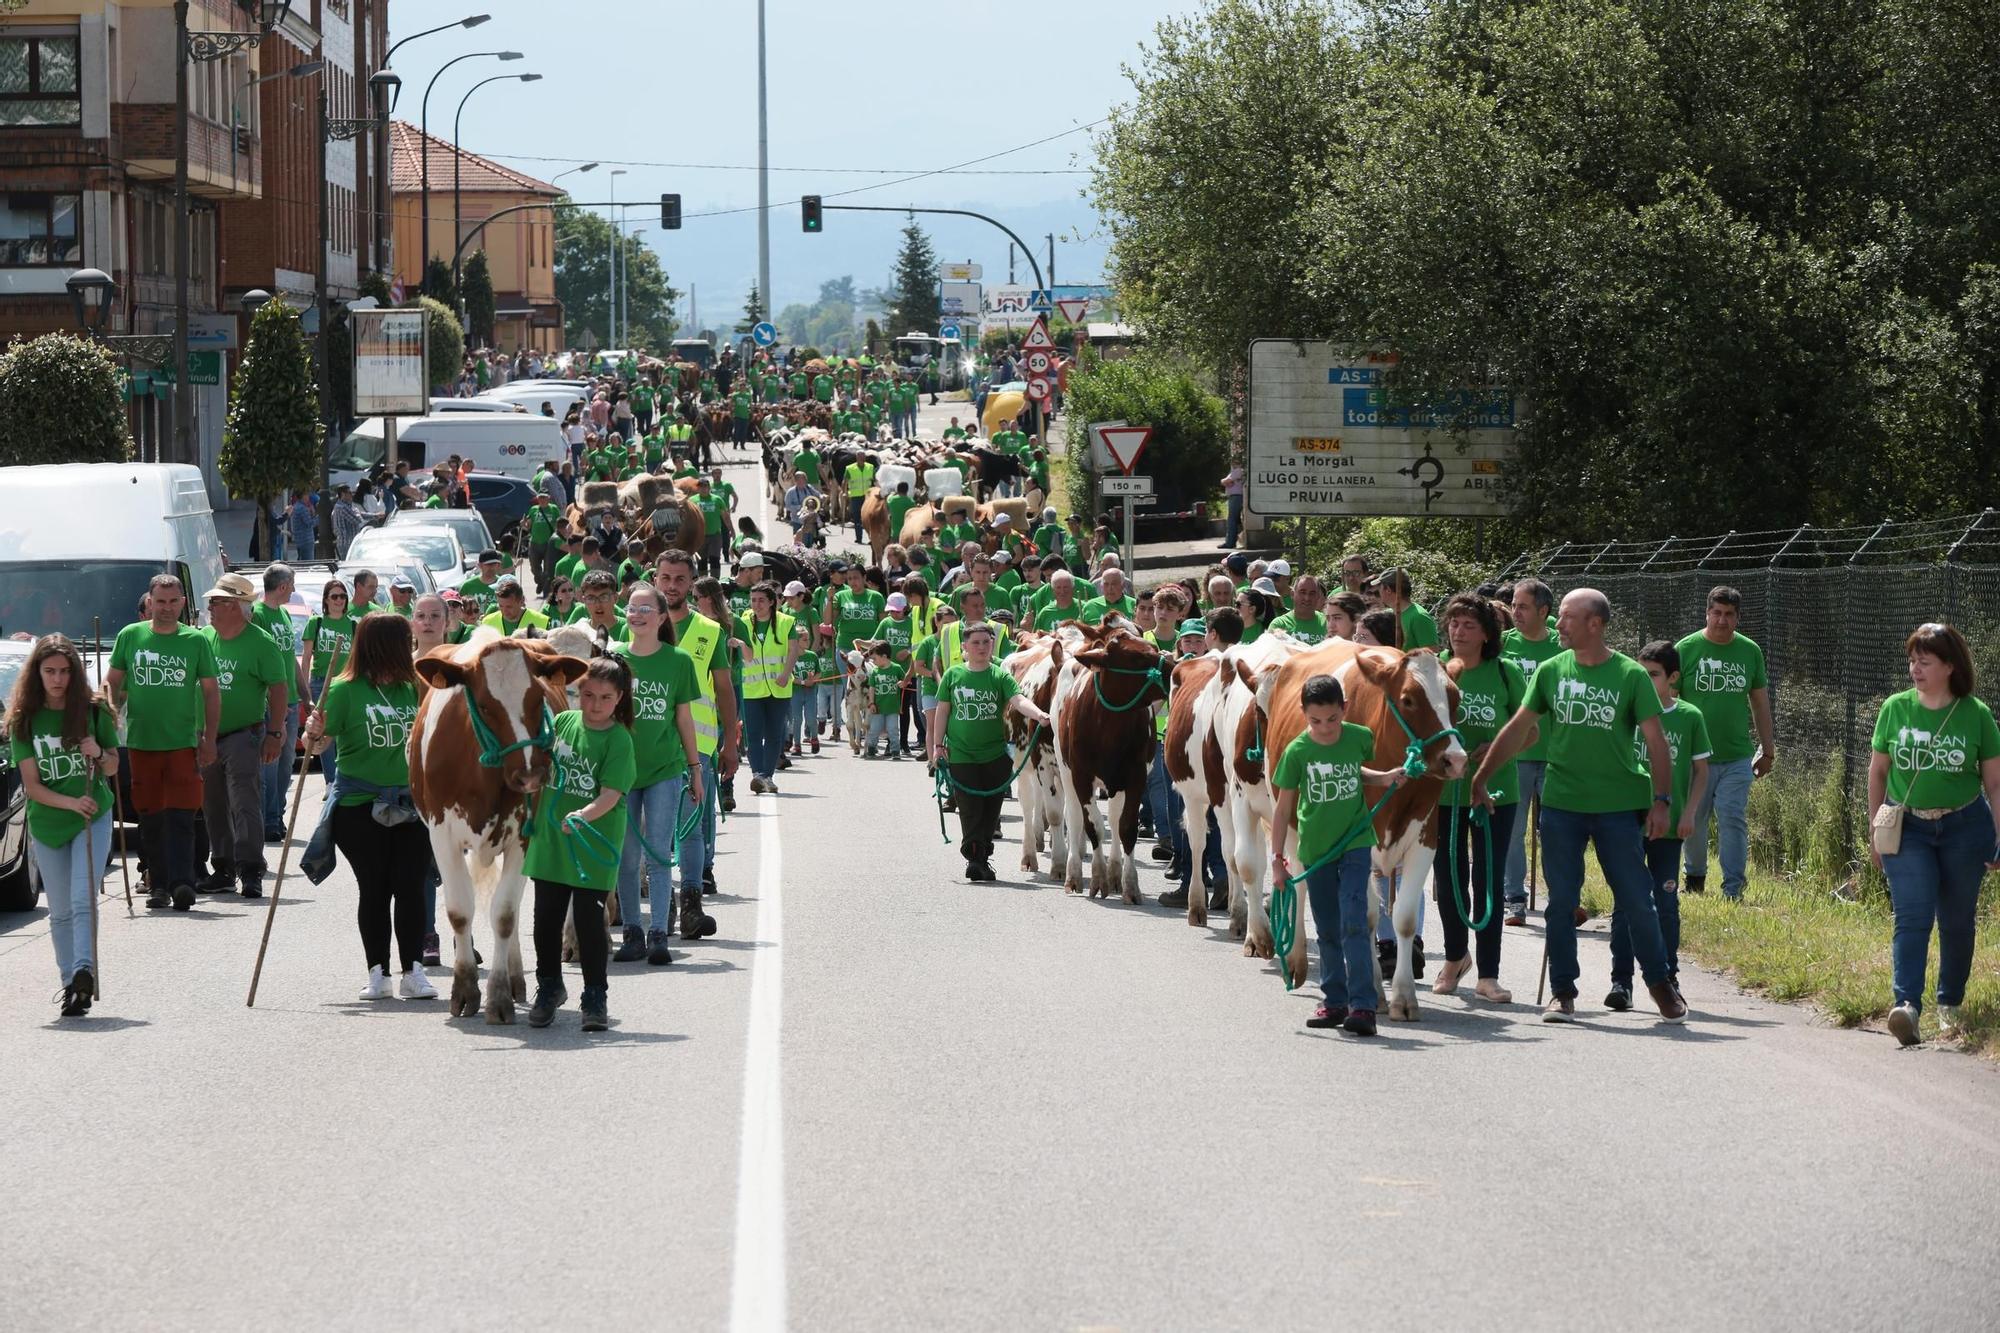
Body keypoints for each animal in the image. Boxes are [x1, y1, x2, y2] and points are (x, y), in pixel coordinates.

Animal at [410, 632, 584, 1016]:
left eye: (536, 697)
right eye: (485, 705)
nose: (530, 774)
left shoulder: (523, 838)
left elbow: (504, 914)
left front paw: (500, 994)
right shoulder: (441, 836)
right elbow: (460, 911)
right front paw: (464, 989)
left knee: (514, 909)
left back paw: (517, 978)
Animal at [1048, 616, 1168, 896]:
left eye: (1153, 647)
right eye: (1136, 658)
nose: (1174, 668)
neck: (1111, 725)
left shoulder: (1136, 776)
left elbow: (1125, 827)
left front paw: (1128, 883)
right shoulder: (1081, 776)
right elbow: (1093, 826)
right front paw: (1098, 877)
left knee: (1113, 819)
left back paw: (1114, 873)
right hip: (1065, 770)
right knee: (1074, 817)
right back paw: (1072, 873)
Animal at [1256, 644, 1464, 1016]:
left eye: (1456, 698)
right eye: (1408, 699)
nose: (1456, 759)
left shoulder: (1425, 841)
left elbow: (1403, 918)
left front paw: (1403, 996)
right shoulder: (1359, 842)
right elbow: (1365, 917)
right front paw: (1375, 993)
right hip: (1289, 822)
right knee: (1299, 884)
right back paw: (1295, 961)